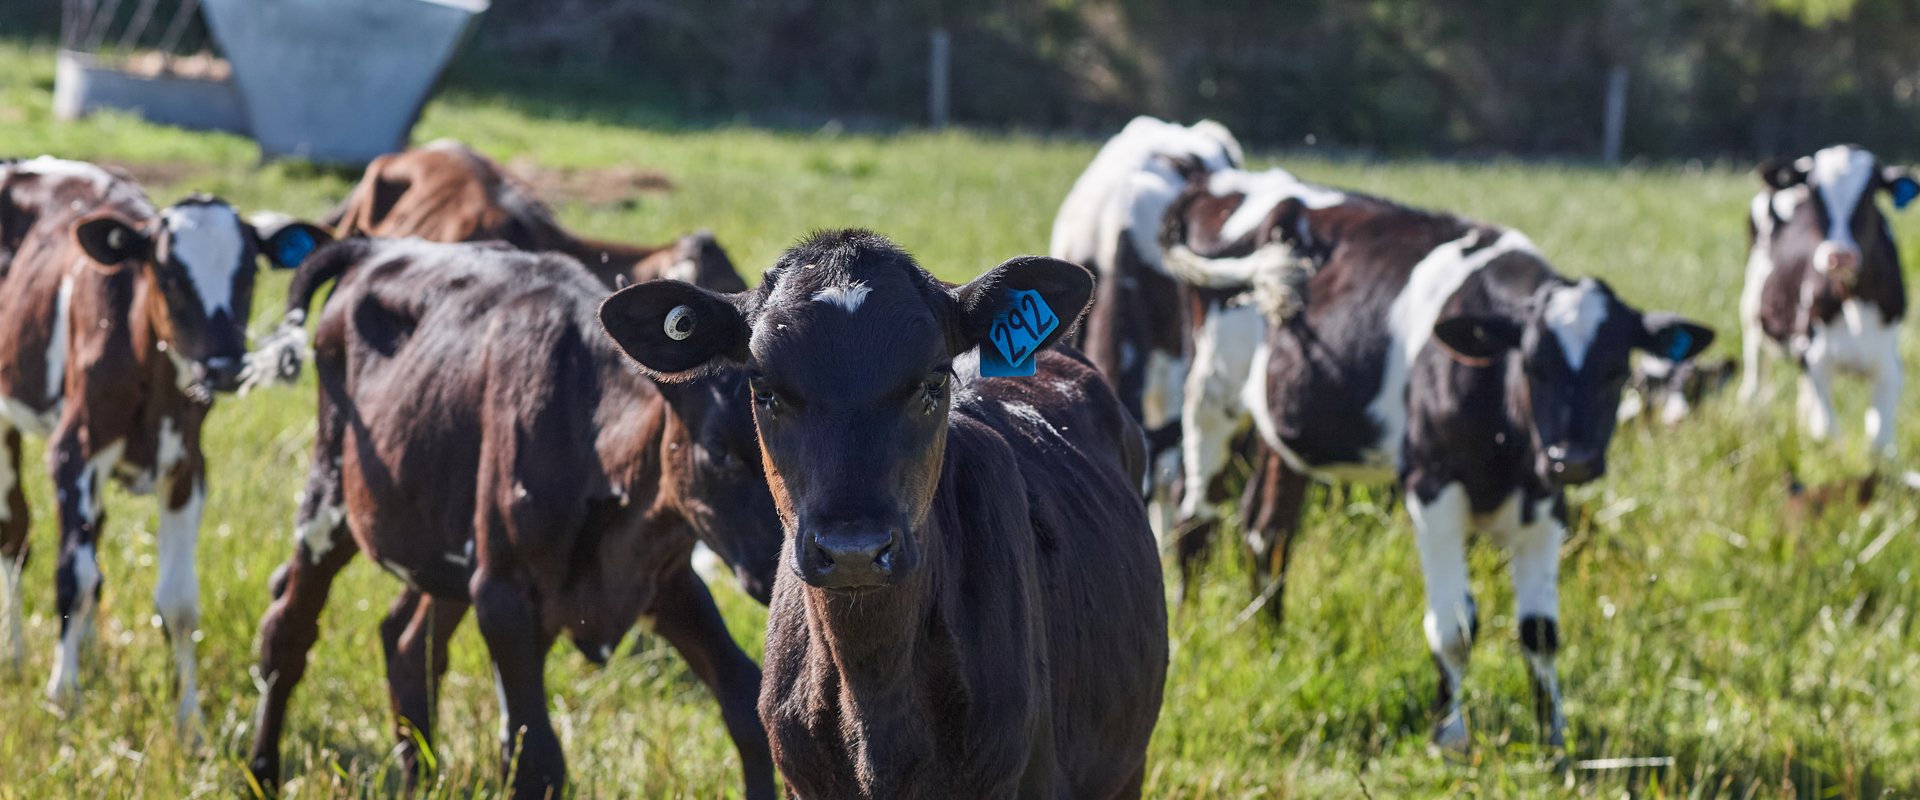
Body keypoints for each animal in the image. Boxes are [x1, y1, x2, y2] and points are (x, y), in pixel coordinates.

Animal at [0, 157, 327, 732]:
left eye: (249, 273)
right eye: (169, 275)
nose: (223, 366)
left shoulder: (187, 467)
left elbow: (178, 601)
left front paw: (190, 722)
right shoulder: (72, 452)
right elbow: (72, 575)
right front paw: (63, 693)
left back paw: (87, 651)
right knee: (15, 537)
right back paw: (17, 654)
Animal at [243, 238, 779, 799]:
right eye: (719, 449)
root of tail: (378, 245)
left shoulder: (667, 581)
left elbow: (746, 703)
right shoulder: (503, 592)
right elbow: (535, 759)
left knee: (407, 644)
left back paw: (418, 778)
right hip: (330, 499)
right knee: (287, 630)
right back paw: (263, 772)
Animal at [1158, 166, 1714, 755]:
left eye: (1616, 371)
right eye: (1533, 366)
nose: (1573, 459)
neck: (1509, 451)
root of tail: (1218, 183)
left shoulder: (1546, 501)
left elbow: (1540, 631)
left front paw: (1554, 743)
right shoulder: (1432, 488)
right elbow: (1454, 627)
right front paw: (1448, 736)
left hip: (1280, 424)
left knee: (1268, 529)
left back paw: (1270, 642)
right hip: (1212, 392)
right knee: (1194, 517)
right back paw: (1190, 627)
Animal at [1739, 144, 1914, 456]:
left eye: (1870, 193)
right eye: (1816, 194)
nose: (1840, 255)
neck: (1854, 298)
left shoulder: (1888, 365)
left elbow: (1880, 445)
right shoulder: (1815, 357)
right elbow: (1827, 433)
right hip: (1751, 313)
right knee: (1754, 384)